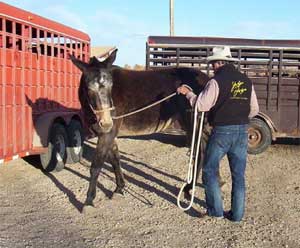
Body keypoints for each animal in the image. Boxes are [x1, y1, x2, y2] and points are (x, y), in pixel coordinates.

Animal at [70, 49, 211, 208]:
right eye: (89, 88)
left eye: (111, 85)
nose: (105, 122)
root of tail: (207, 80)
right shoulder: (109, 134)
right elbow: (115, 160)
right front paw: (119, 188)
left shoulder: (107, 134)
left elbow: (96, 166)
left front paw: (88, 201)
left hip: (194, 123)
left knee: (199, 153)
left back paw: (188, 189)